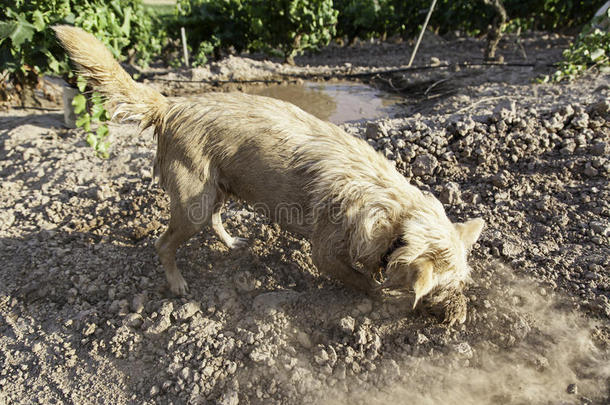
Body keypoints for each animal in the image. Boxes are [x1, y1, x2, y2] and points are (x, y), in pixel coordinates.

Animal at [53, 25, 480, 324]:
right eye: (446, 289)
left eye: (462, 285)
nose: (459, 318)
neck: (396, 216)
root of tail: (172, 104)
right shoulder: (324, 254)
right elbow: (361, 279)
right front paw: (381, 294)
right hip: (194, 202)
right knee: (164, 244)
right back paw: (176, 283)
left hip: (218, 188)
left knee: (215, 220)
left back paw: (231, 243)